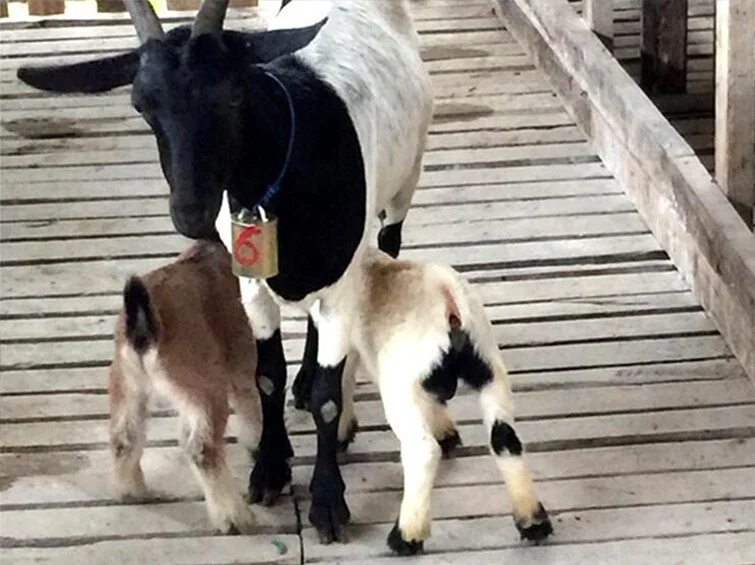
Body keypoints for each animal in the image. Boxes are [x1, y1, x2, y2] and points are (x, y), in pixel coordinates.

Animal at [108, 240, 262, 535]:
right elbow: (251, 410)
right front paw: (256, 445)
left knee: (125, 438)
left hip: (128, 383)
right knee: (203, 450)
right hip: (208, 387)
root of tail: (144, 323)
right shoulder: (240, 363)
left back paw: (132, 491)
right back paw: (234, 517)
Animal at [326, 246, 553, 555]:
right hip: (490, 371)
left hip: (401, 386)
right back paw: (532, 520)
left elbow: (343, 379)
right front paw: (446, 431)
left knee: (422, 451)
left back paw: (406, 536)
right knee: (505, 438)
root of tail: (449, 304)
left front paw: (341, 431)